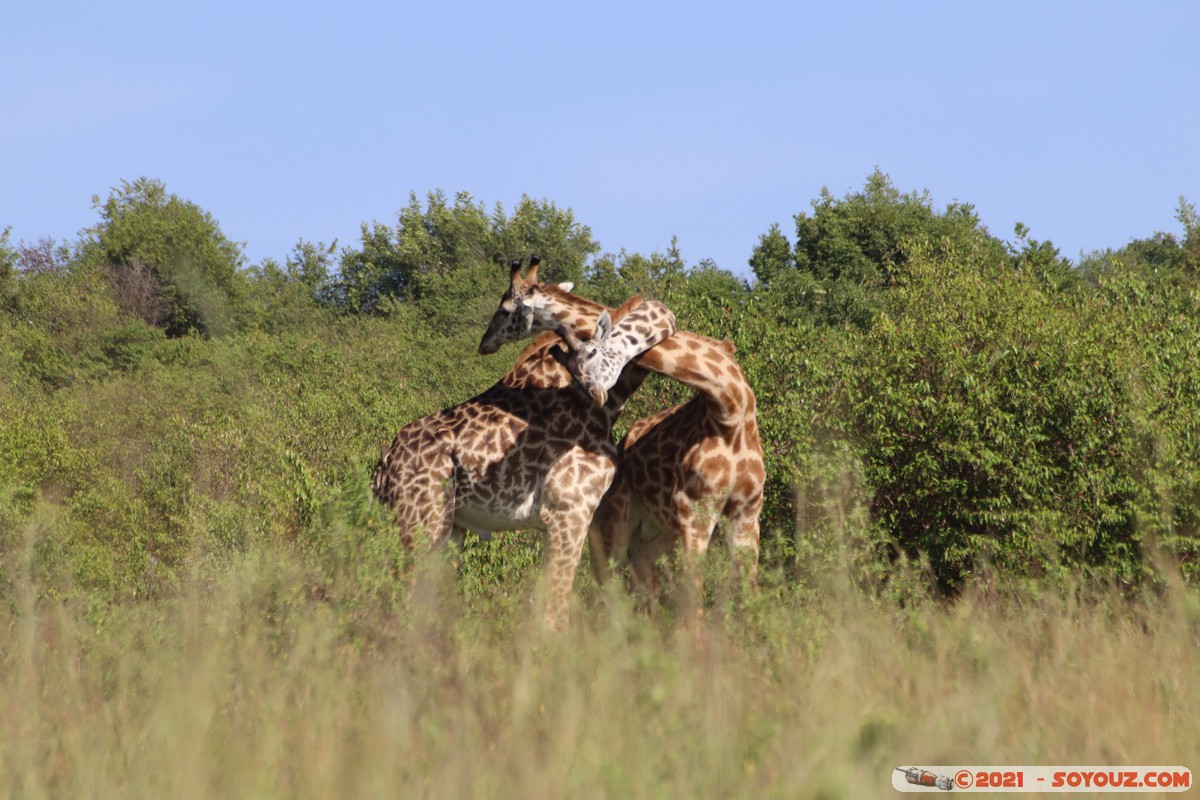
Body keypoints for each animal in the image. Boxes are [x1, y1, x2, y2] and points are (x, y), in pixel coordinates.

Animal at [372, 256, 676, 633]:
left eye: (504, 310)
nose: (484, 342)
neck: (608, 407)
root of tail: (384, 465)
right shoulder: (571, 510)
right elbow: (556, 611)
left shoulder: (560, 520)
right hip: (423, 520)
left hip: (449, 527)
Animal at [554, 311, 768, 614]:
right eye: (568, 368)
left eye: (592, 352)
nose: (591, 396)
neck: (731, 416)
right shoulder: (692, 513)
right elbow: (692, 597)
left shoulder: (747, 514)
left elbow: (746, 593)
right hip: (612, 525)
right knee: (603, 588)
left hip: (654, 535)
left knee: (645, 583)